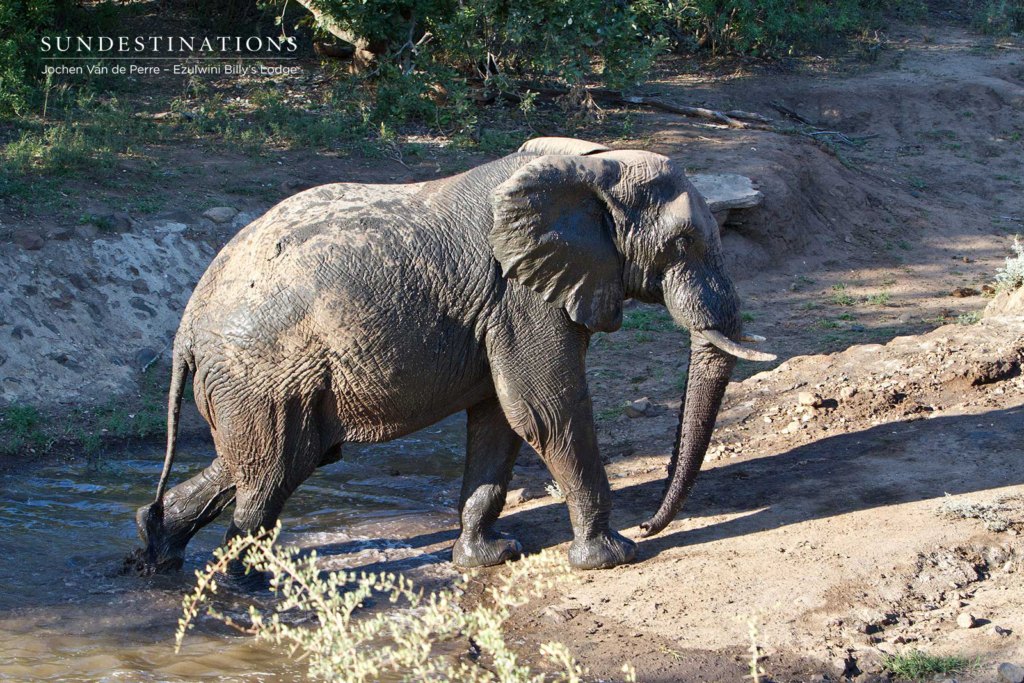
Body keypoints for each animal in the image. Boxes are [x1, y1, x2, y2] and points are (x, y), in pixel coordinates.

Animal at [134, 136, 775, 575]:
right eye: (682, 243)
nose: (651, 522)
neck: (592, 166)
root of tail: (185, 326)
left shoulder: (506, 303)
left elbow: (502, 418)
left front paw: (488, 557)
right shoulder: (519, 294)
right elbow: (545, 409)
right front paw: (614, 555)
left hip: (257, 382)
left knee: (269, 461)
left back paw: (155, 549)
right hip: (262, 370)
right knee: (270, 474)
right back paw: (252, 584)